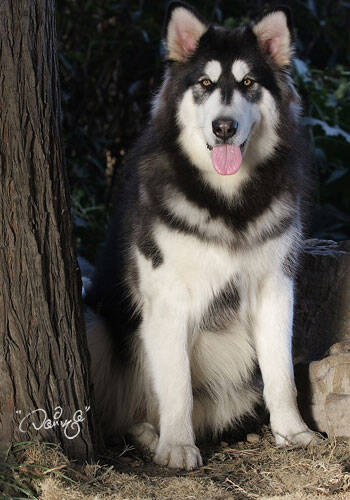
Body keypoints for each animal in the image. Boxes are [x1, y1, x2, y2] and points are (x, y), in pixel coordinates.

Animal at [85, 0, 318, 468]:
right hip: (94, 321)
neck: (227, 201)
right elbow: (176, 384)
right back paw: (146, 433)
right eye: (206, 84)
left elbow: (281, 373)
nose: (223, 127)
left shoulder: (275, 286)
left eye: (248, 83)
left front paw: (292, 431)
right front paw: (177, 445)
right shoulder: (167, 297)